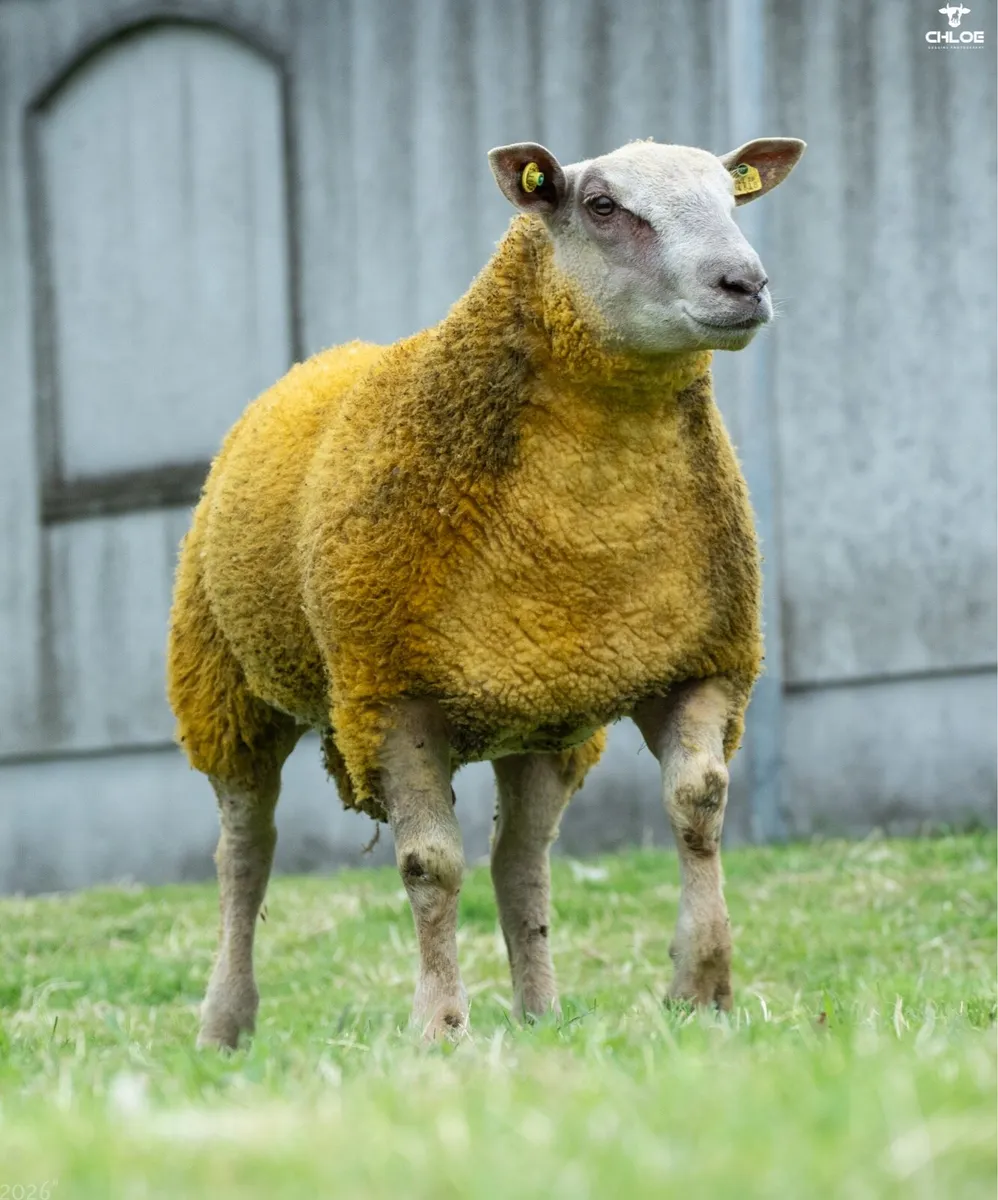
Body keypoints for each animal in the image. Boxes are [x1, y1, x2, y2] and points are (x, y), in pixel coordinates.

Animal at [167, 135, 805, 1048]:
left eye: (732, 196)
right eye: (602, 206)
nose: (744, 283)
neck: (589, 526)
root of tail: (322, 357)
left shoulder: (701, 662)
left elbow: (698, 805)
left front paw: (702, 990)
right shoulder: (389, 696)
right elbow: (429, 865)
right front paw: (439, 1027)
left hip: (545, 712)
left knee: (522, 863)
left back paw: (541, 1014)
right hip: (225, 688)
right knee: (245, 855)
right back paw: (225, 1024)